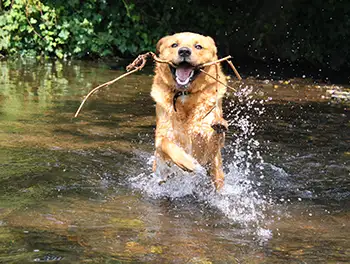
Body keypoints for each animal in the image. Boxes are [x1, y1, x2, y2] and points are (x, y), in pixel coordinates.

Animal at [152, 32, 228, 190]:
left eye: (198, 46)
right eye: (174, 45)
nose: (184, 51)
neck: (184, 96)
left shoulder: (209, 151)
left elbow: (214, 138)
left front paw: (219, 123)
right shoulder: (161, 138)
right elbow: (166, 143)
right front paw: (188, 163)